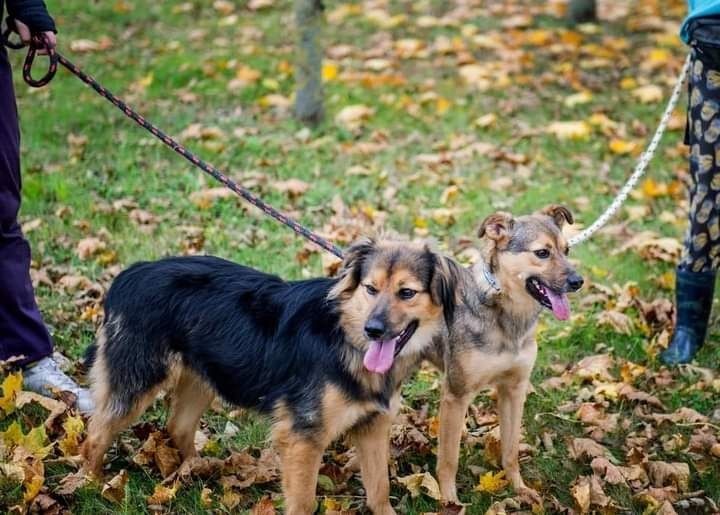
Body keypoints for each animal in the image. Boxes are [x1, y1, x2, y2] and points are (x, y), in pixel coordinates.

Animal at [81, 240, 458, 512]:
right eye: (370, 289)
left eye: (406, 293)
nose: (374, 330)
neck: (346, 339)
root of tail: (131, 273)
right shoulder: (302, 438)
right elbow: (303, 502)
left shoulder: (372, 427)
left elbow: (380, 489)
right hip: (137, 382)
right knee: (96, 434)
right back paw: (89, 485)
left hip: (203, 379)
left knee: (178, 427)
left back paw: (196, 471)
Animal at [428, 205, 584, 504]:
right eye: (542, 253)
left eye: (567, 250)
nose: (578, 281)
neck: (507, 315)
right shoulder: (457, 393)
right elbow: (449, 459)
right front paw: (449, 500)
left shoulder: (514, 388)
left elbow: (511, 449)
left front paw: (519, 488)